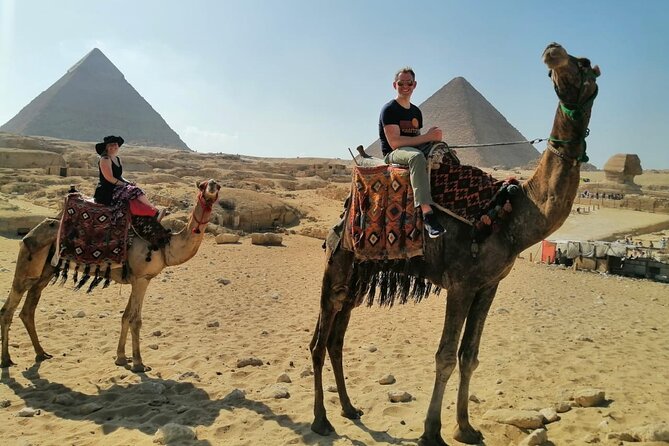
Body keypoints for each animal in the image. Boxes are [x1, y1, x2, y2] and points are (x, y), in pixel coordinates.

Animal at [1, 179, 221, 372]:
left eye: (217, 186)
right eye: (202, 186)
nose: (212, 186)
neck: (165, 245)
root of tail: (30, 232)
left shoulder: (138, 279)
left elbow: (125, 317)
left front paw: (121, 358)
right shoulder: (141, 279)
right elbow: (135, 320)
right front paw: (139, 363)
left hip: (45, 272)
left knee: (27, 310)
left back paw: (41, 353)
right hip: (27, 265)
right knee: (8, 309)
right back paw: (6, 360)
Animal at [310, 43, 600, 445]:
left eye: (584, 64)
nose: (552, 51)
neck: (511, 214)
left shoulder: (489, 285)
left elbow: (470, 356)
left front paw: (466, 427)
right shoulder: (461, 283)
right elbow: (446, 356)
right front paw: (432, 431)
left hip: (358, 277)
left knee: (337, 339)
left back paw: (350, 409)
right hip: (337, 264)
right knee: (319, 343)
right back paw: (321, 420)